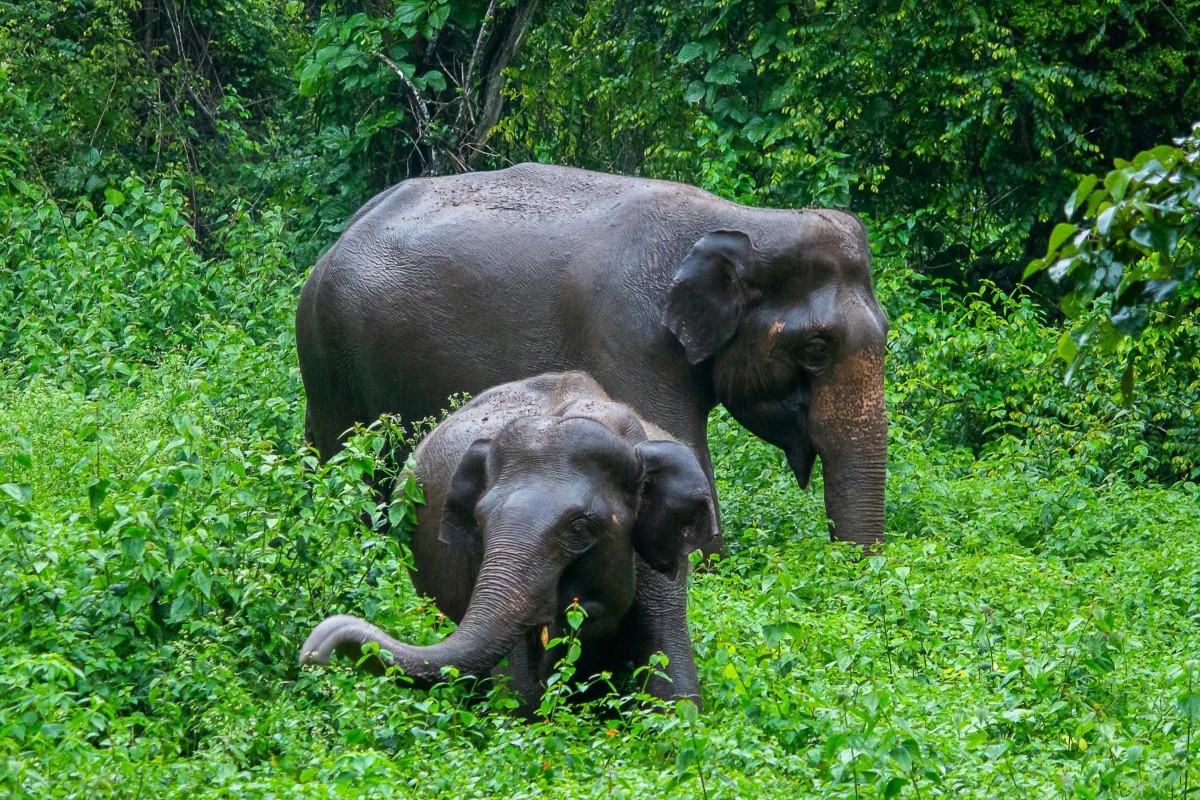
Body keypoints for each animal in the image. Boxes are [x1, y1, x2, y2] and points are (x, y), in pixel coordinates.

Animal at [296, 163, 888, 551]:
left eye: (887, 333)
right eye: (816, 349)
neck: (744, 221)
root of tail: (334, 245)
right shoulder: (627, 339)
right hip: (334, 358)